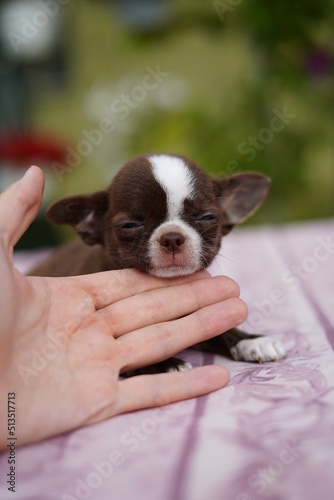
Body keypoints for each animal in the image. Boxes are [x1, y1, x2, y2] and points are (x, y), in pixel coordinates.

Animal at [32, 153, 286, 372]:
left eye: (208, 217)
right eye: (129, 225)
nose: (172, 237)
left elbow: (220, 328)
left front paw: (251, 340)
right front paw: (164, 364)